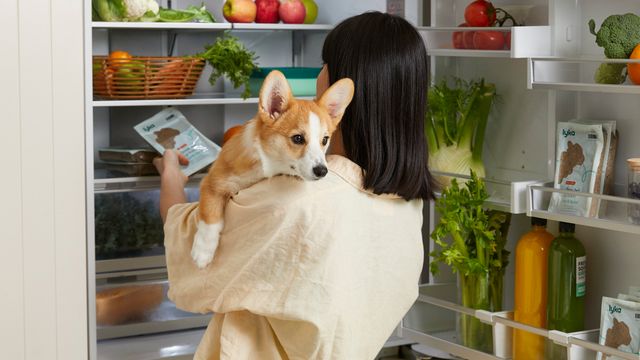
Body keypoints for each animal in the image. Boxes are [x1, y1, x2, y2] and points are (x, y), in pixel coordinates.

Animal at [192, 69, 358, 268]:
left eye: (325, 140)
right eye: (297, 138)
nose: (322, 171)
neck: (268, 165)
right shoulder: (213, 182)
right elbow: (210, 215)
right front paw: (202, 252)